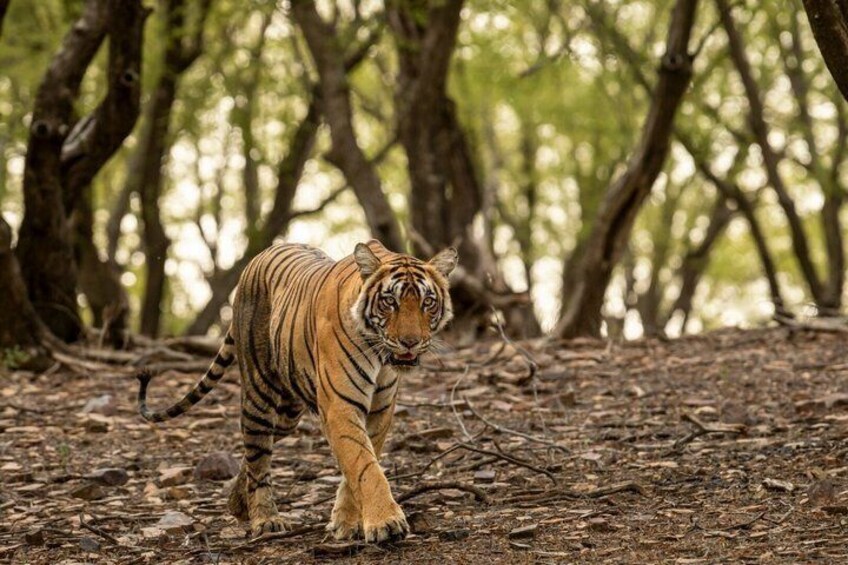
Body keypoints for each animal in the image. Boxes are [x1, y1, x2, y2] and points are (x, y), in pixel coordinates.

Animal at [136, 240, 457, 542]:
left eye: (428, 302)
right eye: (390, 301)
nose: (410, 342)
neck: (380, 355)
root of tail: (259, 256)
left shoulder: (379, 410)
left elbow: (359, 464)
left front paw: (346, 523)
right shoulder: (340, 405)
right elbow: (365, 466)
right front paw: (385, 523)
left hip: (288, 414)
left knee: (255, 455)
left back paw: (238, 503)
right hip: (259, 396)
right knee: (258, 459)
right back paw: (265, 519)